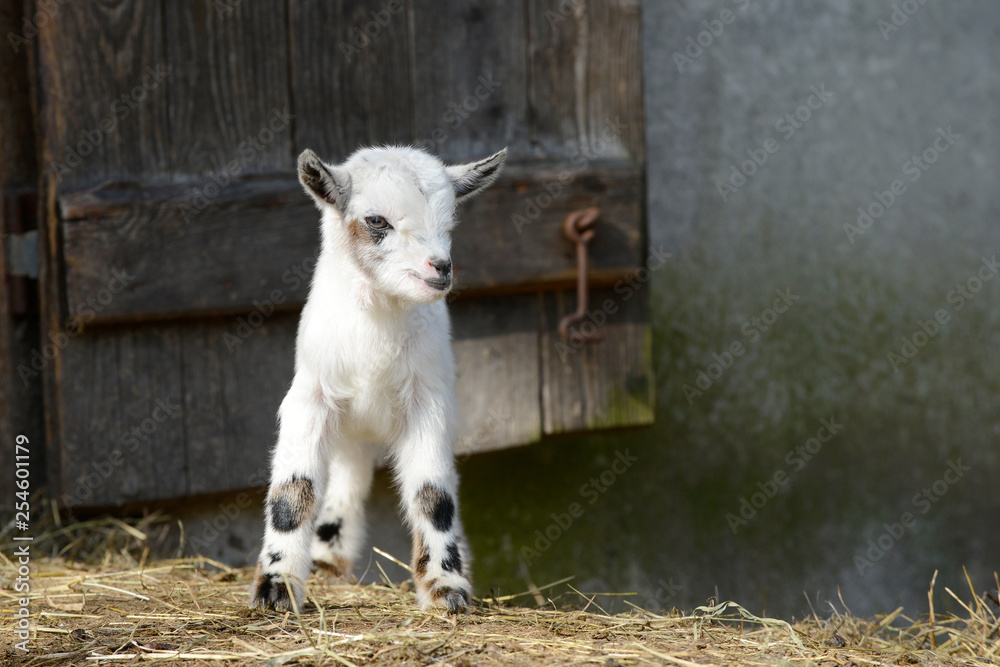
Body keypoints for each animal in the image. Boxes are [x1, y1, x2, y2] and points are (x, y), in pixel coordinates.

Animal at [249, 145, 507, 612]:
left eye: (449, 223)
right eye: (376, 221)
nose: (441, 268)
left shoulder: (429, 403)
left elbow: (433, 496)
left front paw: (446, 587)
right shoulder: (310, 398)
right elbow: (294, 491)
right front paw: (276, 587)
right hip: (349, 433)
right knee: (346, 480)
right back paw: (326, 558)